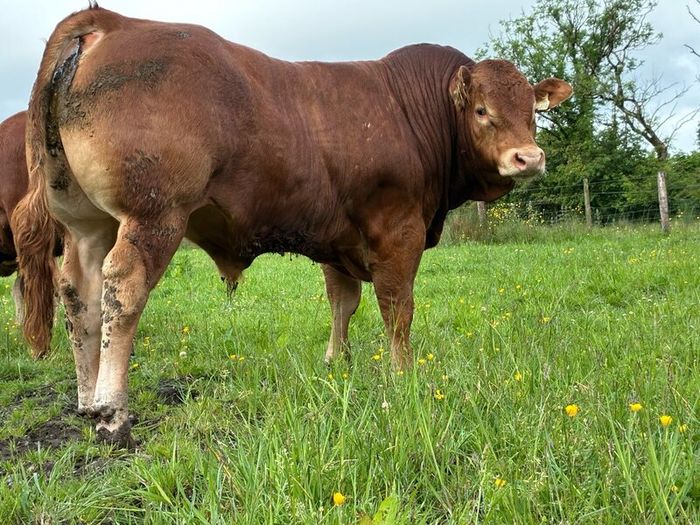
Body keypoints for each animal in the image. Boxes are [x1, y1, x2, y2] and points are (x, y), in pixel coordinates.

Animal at [12, 6, 572, 446]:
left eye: (533, 111)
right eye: (481, 110)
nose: (529, 158)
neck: (411, 113)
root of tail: (109, 20)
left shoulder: (339, 240)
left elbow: (343, 301)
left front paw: (337, 362)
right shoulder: (397, 230)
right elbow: (397, 308)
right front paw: (402, 375)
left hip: (87, 223)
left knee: (77, 292)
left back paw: (86, 401)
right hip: (153, 215)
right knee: (122, 291)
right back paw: (113, 413)